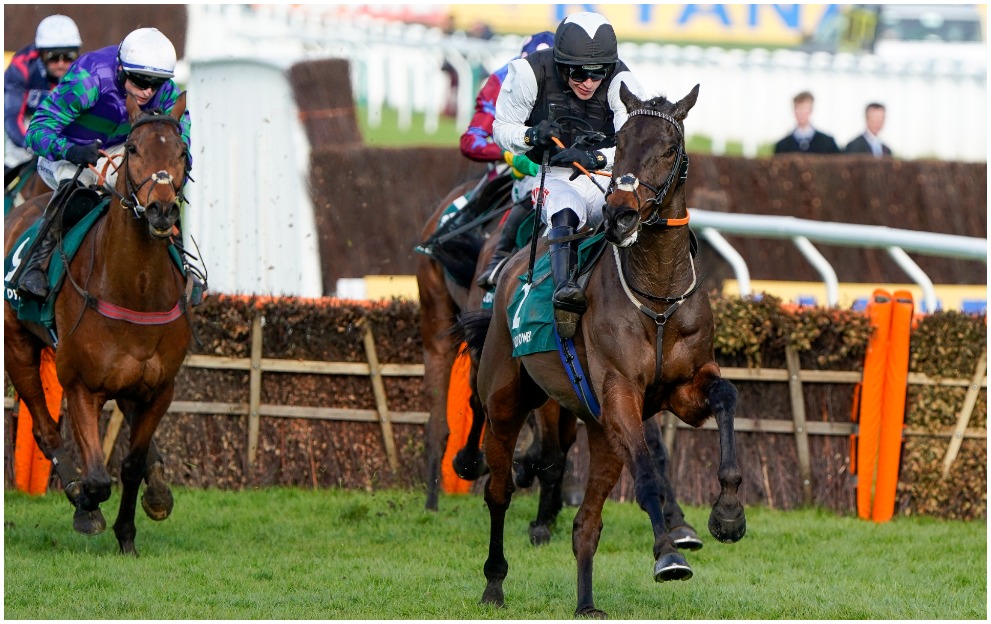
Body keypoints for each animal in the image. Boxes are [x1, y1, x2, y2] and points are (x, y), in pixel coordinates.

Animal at [458, 84, 744, 620]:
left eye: (669, 149)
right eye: (621, 144)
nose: (621, 214)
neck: (658, 297)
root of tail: (511, 268)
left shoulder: (682, 389)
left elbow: (725, 397)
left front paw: (729, 513)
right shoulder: (619, 395)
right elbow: (647, 473)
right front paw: (668, 554)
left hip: (599, 431)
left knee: (585, 524)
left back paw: (586, 603)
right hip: (508, 400)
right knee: (499, 490)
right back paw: (493, 582)